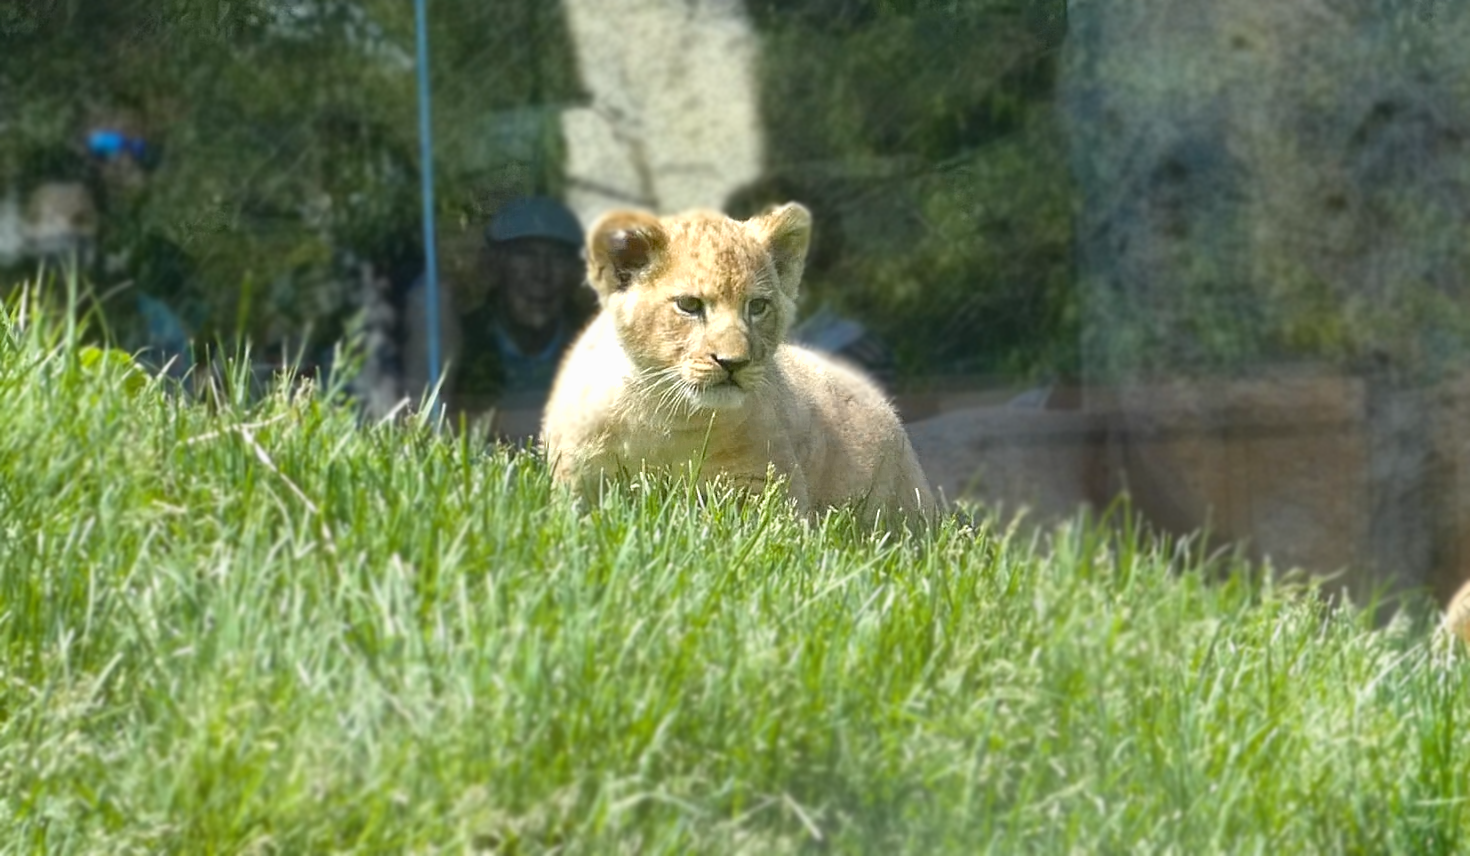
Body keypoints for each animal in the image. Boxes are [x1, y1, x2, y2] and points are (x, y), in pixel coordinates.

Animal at [540, 202, 936, 529]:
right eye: (689, 305)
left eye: (757, 306)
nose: (734, 363)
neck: (664, 415)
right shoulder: (577, 477)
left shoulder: (768, 488)